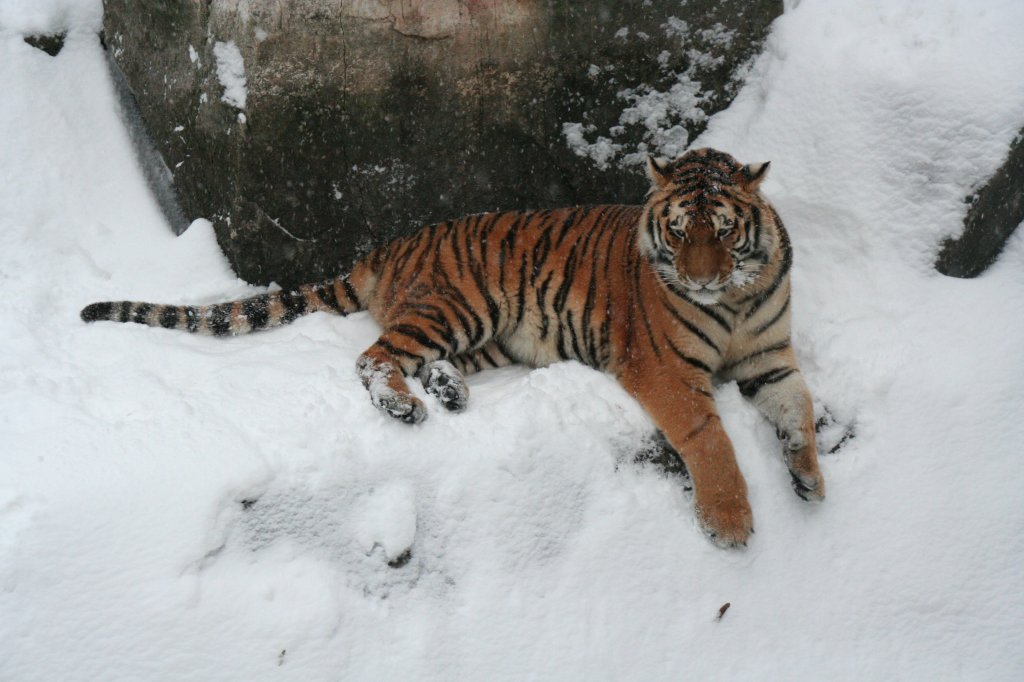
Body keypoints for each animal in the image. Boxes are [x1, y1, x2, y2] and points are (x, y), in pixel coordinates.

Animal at [83, 146, 827, 544]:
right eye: (677, 231)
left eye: (723, 231)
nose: (699, 278)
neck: (734, 298)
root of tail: (386, 247)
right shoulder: (666, 368)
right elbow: (709, 437)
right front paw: (730, 521)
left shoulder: (770, 359)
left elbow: (802, 410)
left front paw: (810, 479)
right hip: (461, 305)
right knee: (372, 357)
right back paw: (405, 405)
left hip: (497, 334)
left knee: (428, 361)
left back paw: (447, 390)